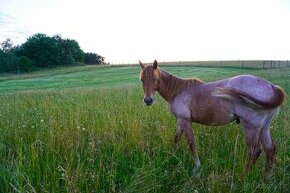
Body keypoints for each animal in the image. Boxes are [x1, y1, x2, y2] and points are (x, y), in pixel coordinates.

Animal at [140, 60, 286, 175]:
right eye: (142, 80)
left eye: (155, 79)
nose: (148, 100)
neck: (179, 90)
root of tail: (271, 87)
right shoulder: (180, 120)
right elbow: (176, 138)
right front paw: (174, 156)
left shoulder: (185, 120)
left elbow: (191, 142)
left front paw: (196, 167)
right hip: (264, 128)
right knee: (270, 149)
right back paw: (266, 177)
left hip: (251, 127)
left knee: (254, 151)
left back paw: (244, 176)